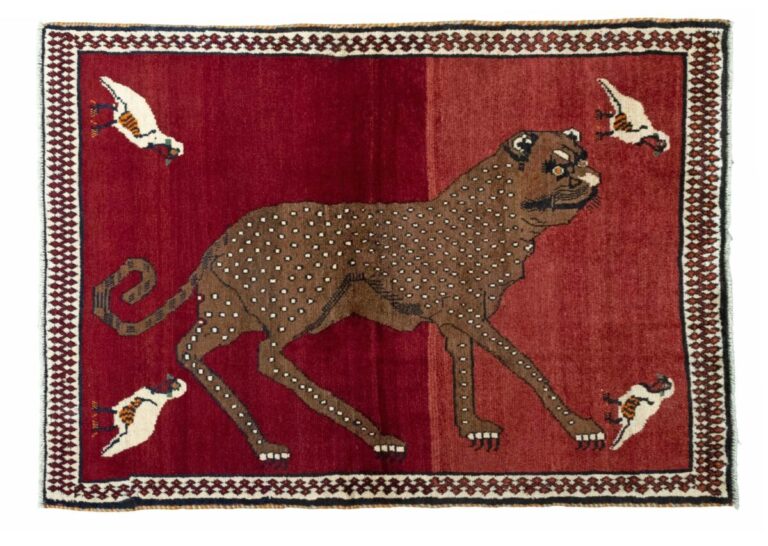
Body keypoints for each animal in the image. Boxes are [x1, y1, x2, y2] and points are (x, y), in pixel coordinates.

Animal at [93, 128, 606, 463]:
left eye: (582, 158)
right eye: (557, 166)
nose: (595, 180)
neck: (499, 210)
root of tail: (217, 245)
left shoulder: (454, 320)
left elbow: (465, 367)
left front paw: (471, 427)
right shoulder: (466, 313)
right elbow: (525, 363)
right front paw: (579, 426)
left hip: (229, 313)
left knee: (192, 350)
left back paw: (265, 445)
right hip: (307, 301)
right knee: (268, 357)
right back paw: (373, 434)